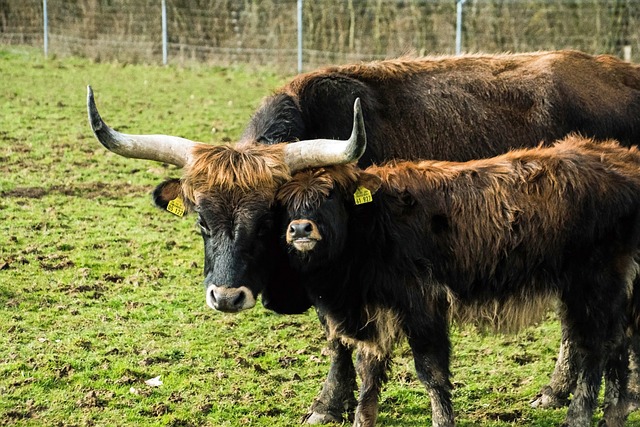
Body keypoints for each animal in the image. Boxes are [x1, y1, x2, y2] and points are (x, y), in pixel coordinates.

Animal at [278, 131, 640, 427]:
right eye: (286, 200)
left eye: (328, 194)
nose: (300, 229)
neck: (373, 223)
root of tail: (623, 160)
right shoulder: (376, 314)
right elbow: (369, 372)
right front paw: (361, 420)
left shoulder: (423, 306)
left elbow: (431, 373)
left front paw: (442, 420)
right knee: (618, 343)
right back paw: (613, 415)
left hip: (593, 285)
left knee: (594, 348)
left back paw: (578, 417)